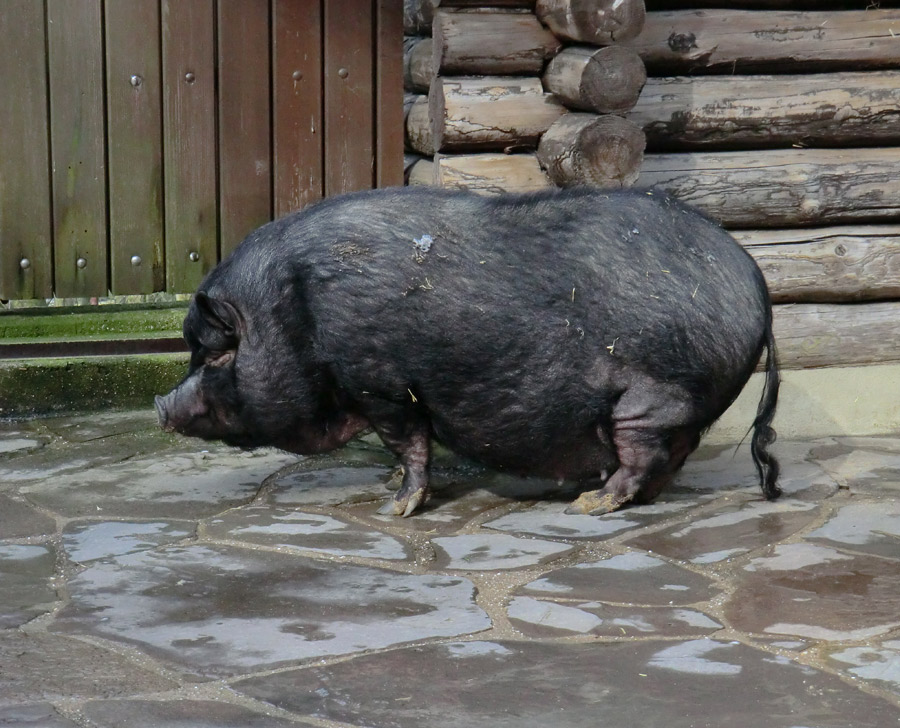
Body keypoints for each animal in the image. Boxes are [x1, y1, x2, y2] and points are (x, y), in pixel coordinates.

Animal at [156, 188, 780, 516]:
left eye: (215, 354)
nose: (161, 405)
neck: (293, 312)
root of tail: (758, 285)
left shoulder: (383, 384)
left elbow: (409, 443)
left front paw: (395, 507)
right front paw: (385, 486)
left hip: (651, 397)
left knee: (644, 454)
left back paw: (589, 503)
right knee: (672, 457)